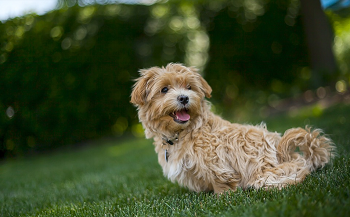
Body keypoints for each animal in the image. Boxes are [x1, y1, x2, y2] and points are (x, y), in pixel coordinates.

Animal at [130, 62, 334, 193]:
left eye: (189, 87)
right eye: (164, 89)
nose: (184, 98)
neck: (185, 132)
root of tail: (281, 149)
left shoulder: (216, 161)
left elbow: (220, 180)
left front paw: (222, 196)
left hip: (263, 173)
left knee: (298, 167)